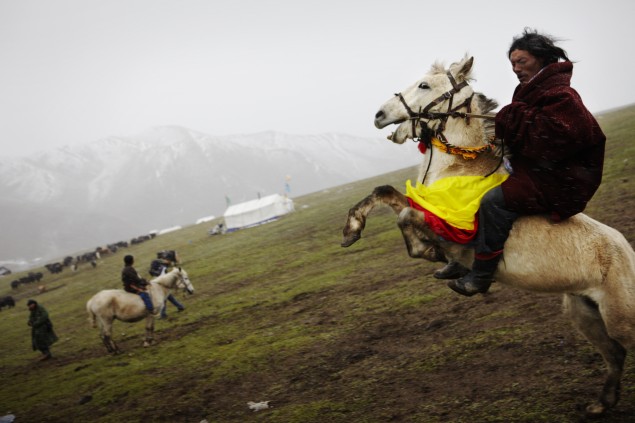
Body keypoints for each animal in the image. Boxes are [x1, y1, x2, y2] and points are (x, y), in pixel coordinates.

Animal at [342, 54, 635, 416]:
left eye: (424, 85)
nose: (379, 115)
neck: (459, 169)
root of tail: (628, 254)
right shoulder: (429, 210)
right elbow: (384, 193)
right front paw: (351, 230)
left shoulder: (453, 230)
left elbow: (407, 218)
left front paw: (432, 254)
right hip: (584, 313)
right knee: (615, 353)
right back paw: (602, 404)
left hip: (620, 317)